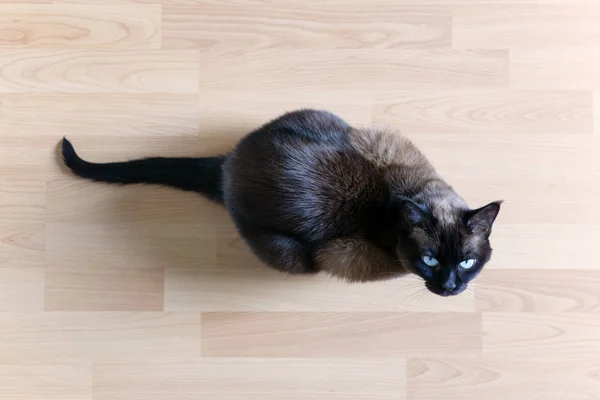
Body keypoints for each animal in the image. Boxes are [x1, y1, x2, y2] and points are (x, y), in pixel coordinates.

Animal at [62, 109, 502, 296]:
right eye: (429, 260)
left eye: (466, 261)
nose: (450, 286)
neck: (401, 196)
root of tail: (228, 167)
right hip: (291, 255)